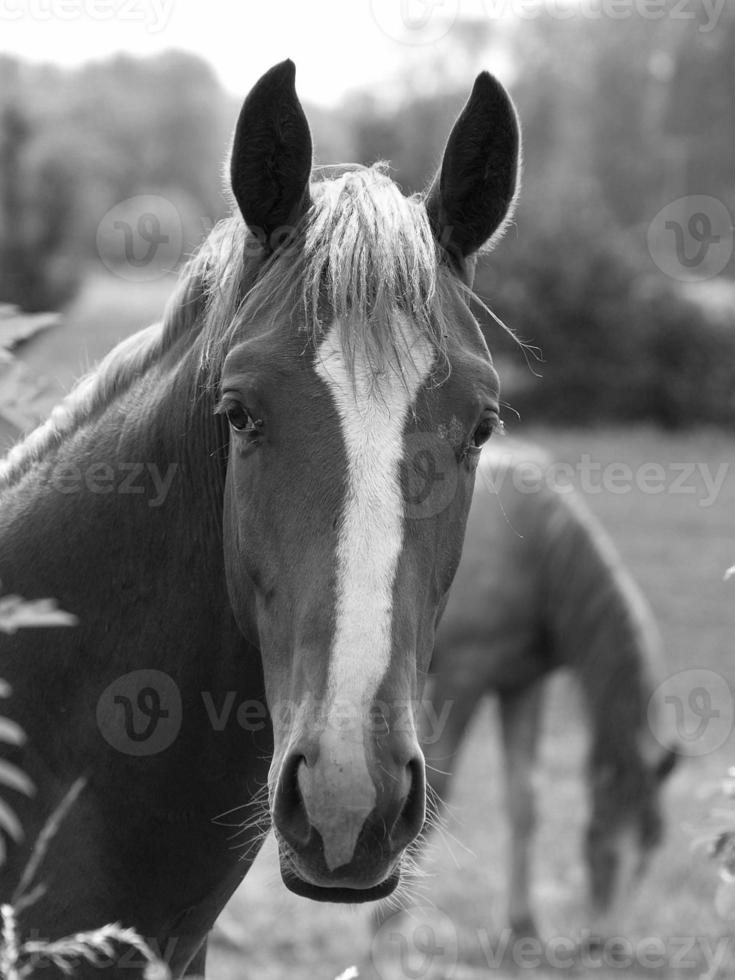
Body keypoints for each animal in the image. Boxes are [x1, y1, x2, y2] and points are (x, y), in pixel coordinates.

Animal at [420, 440, 680, 936]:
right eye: (598, 841)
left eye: (651, 848)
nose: (606, 943)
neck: (534, 554)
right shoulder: (461, 678)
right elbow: (431, 797)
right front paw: (383, 929)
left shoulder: (522, 684)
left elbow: (524, 801)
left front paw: (523, 924)